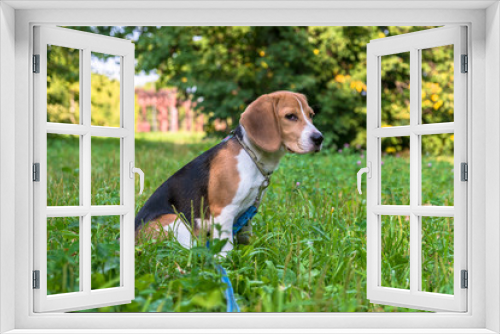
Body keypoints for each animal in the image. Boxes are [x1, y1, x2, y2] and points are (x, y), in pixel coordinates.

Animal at [135, 90, 324, 254]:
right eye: (290, 116)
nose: (319, 138)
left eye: (311, 115)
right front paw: (227, 261)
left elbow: (245, 237)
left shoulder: (247, 212)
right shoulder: (224, 211)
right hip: (174, 219)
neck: (251, 155)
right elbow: (226, 244)